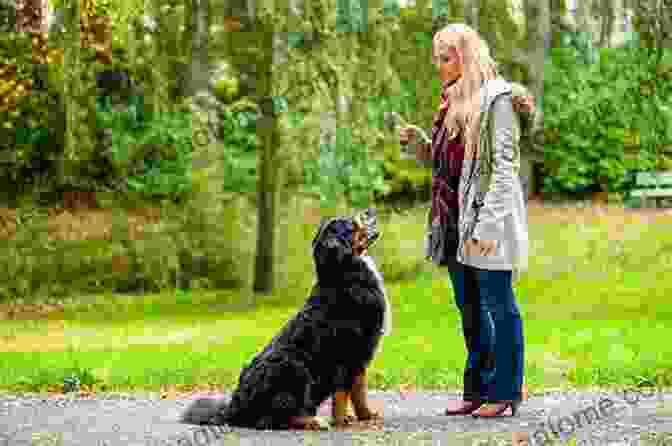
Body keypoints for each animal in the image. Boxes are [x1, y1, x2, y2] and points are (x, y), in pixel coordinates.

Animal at [180, 209, 388, 428]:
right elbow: (342, 395)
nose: (370, 210)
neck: (344, 272)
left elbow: (359, 393)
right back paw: (312, 421)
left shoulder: (362, 355)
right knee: (275, 418)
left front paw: (366, 416)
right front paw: (341, 421)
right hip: (294, 366)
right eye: (351, 224)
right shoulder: (347, 353)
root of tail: (234, 408)